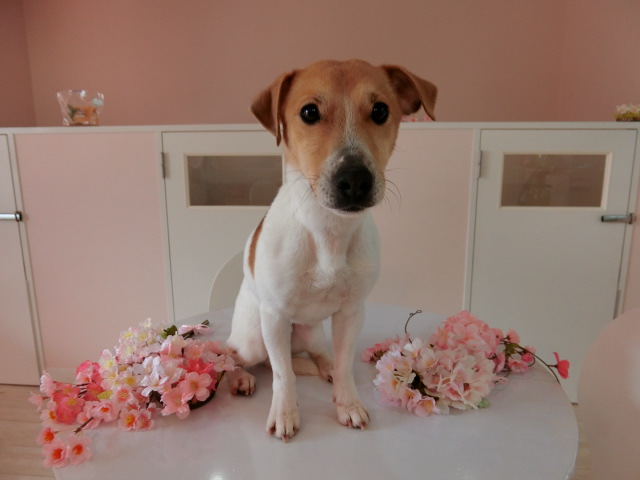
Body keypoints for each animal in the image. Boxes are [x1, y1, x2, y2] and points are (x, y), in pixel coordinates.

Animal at [226, 59, 437, 441]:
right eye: (309, 112)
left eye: (380, 110)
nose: (354, 180)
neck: (328, 231)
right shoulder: (274, 315)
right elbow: (283, 377)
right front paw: (285, 413)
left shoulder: (351, 313)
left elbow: (344, 365)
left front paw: (347, 402)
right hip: (253, 337)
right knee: (236, 355)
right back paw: (240, 376)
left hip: (312, 332)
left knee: (318, 355)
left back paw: (323, 367)